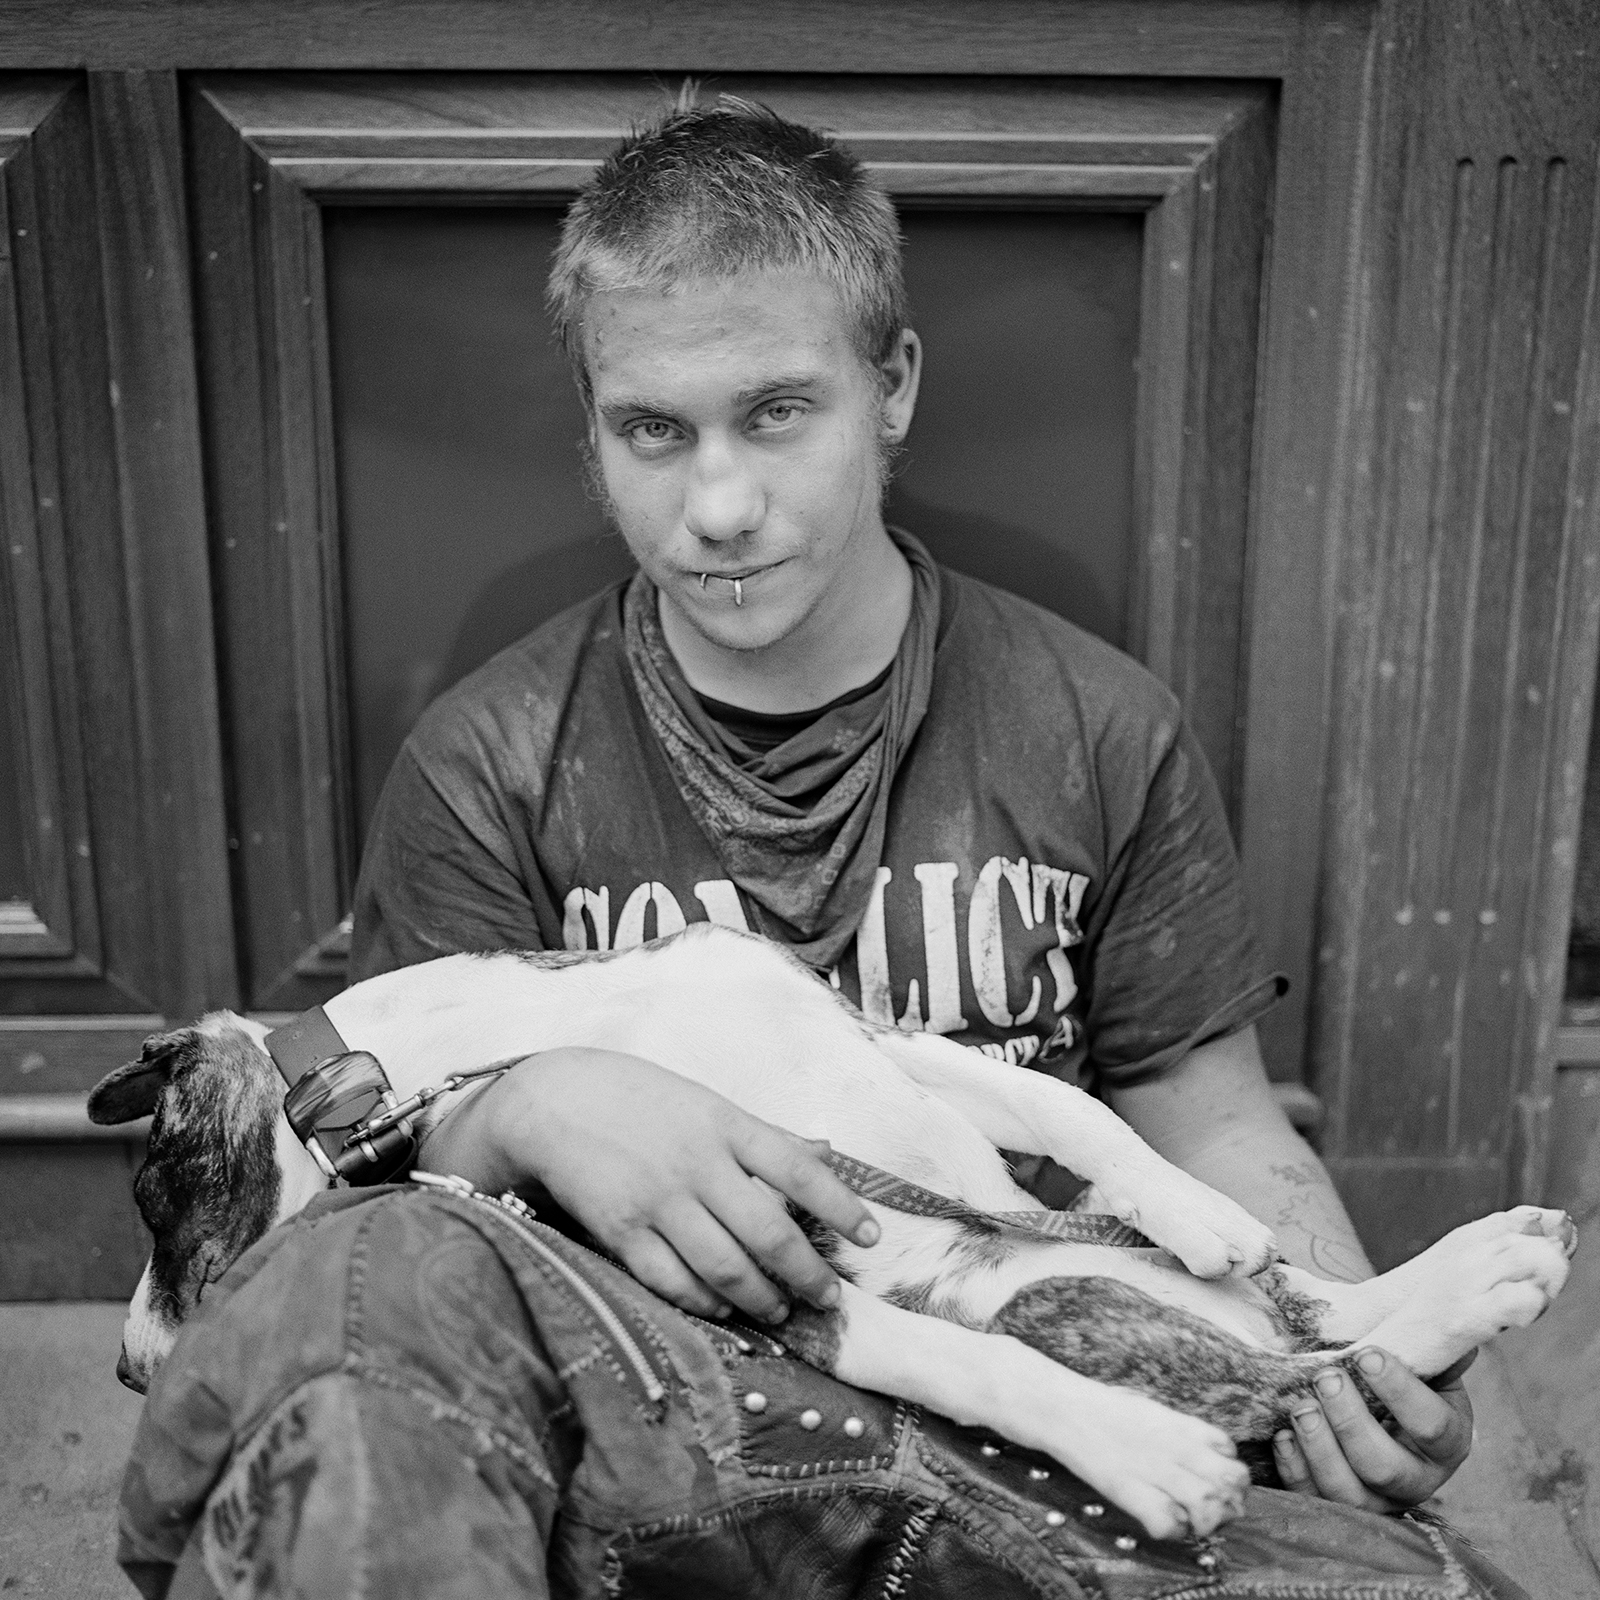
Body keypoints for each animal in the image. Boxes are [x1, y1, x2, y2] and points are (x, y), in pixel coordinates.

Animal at [93, 921, 1580, 1542]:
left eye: (150, 1200)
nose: (123, 1369)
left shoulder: (895, 1046)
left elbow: (1077, 1111)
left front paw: (1202, 1205)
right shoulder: (762, 1273)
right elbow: (969, 1371)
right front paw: (1140, 1459)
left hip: (1083, 1258)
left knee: (1310, 1324)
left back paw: (1452, 1265)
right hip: (1053, 1296)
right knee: (1302, 1366)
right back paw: (1471, 1285)